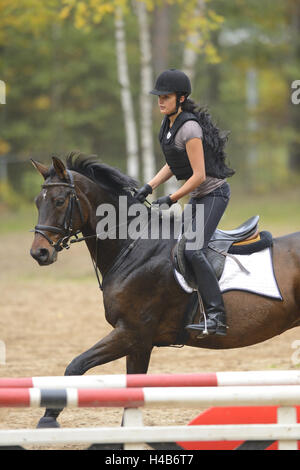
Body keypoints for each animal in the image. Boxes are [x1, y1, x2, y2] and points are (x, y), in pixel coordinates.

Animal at [29, 152, 300, 428]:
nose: (39, 253)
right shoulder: (138, 343)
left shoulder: (132, 333)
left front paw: (48, 418)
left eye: (59, 201)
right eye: (38, 202)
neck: (133, 245)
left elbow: (75, 366)